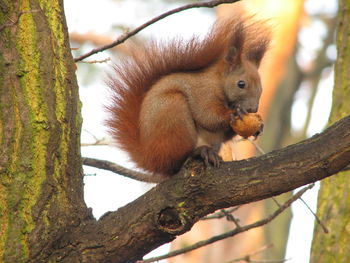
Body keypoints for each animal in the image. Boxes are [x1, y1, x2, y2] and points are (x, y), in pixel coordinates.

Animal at [105, 12, 272, 184]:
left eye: (261, 87)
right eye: (241, 84)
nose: (253, 109)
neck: (218, 81)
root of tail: (149, 157)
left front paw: (258, 126)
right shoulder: (202, 92)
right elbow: (208, 116)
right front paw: (234, 113)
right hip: (173, 113)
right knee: (176, 160)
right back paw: (199, 152)